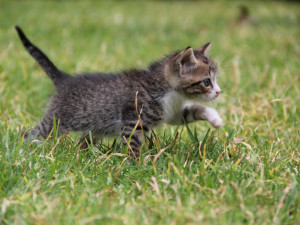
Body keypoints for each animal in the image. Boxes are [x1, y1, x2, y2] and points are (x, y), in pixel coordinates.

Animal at [16, 25, 223, 157]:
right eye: (207, 82)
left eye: (215, 80)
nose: (218, 92)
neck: (166, 90)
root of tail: (64, 79)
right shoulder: (133, 122)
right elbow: (133, 146)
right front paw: (137, 167)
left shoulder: (171, 113)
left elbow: (192, 111)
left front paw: (215, 118)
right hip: (58, 120)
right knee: (31, 133)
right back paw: (25, 152)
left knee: (83, 141)